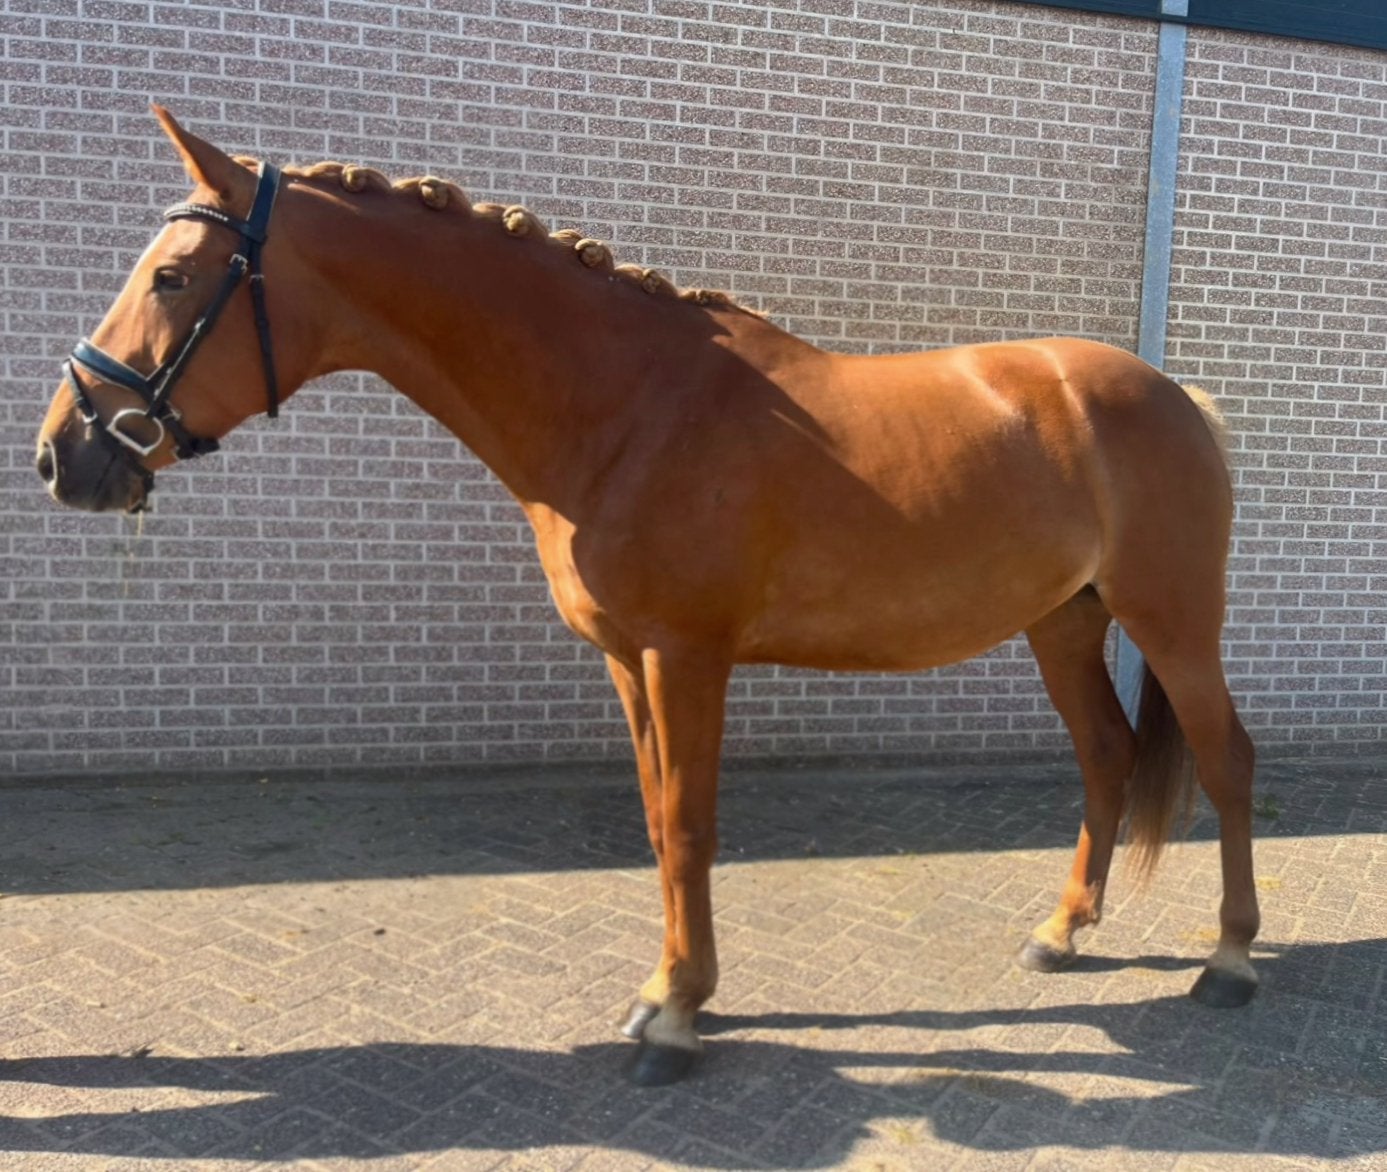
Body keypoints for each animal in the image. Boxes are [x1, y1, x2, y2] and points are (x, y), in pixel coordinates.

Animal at [35, 109, 1260, 1086]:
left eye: (171, 277)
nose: (62, 456)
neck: (629, 407)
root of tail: (1173, 394)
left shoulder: (686, 654)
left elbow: (687, 822)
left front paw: (675, 1016)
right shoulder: (628, 659)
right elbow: (655, 820)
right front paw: (669, 991)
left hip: (1172, 621)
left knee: (1225, 758)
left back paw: (1230, 959)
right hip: (1064, 621)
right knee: (1106, 755)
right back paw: (1060, 931)